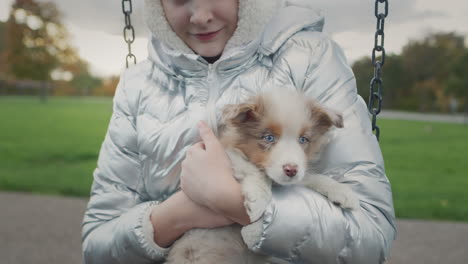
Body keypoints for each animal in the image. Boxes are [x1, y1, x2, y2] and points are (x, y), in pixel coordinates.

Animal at [166, 89, 360, 264]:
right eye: (268, 138)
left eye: (303, 140)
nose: (291, 170)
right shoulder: (229, 155)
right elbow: (257, 172)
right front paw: (257, 203)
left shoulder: (294, 176)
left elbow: (310, 177)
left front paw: (342, 192)